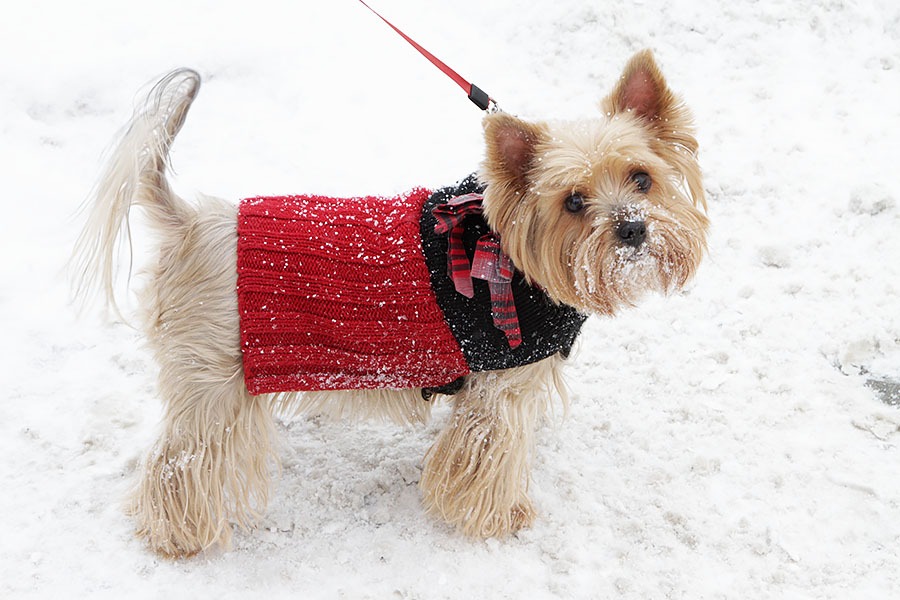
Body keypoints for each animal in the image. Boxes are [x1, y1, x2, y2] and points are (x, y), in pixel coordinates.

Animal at [74, 49, 708, 556]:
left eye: (642, 178)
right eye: (573, 201)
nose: (632, 228)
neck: (514, 257)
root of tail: (189, 221)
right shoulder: (498, 393)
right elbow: (486, 460)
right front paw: (501, 517)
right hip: (212, 387)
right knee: (177, 467)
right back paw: (178, 537)